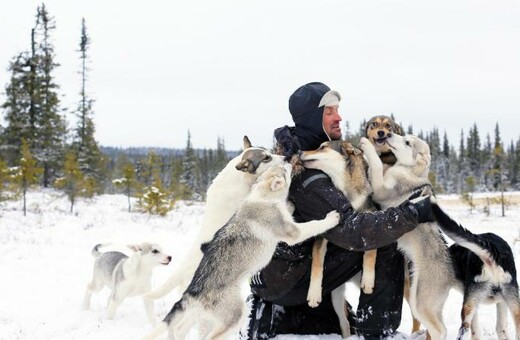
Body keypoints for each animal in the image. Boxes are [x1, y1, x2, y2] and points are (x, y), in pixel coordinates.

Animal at [142, 163, 340, 338]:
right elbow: (314, 225)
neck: (263, 198)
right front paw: (332, 218)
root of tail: (193, 290)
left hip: (197, 314)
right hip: (233, 316)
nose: (291, 161)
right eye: (284, 170)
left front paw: (289, 204)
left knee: (179, 329)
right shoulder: (293, 233)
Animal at [296, 140, 374, 338]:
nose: (299, 151)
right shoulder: (321, 237)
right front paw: (314, 294)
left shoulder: (370, 219)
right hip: (336, 297)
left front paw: (369, 280)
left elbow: (371, 251)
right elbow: (317, 265)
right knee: (344, 323)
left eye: (323, 147)